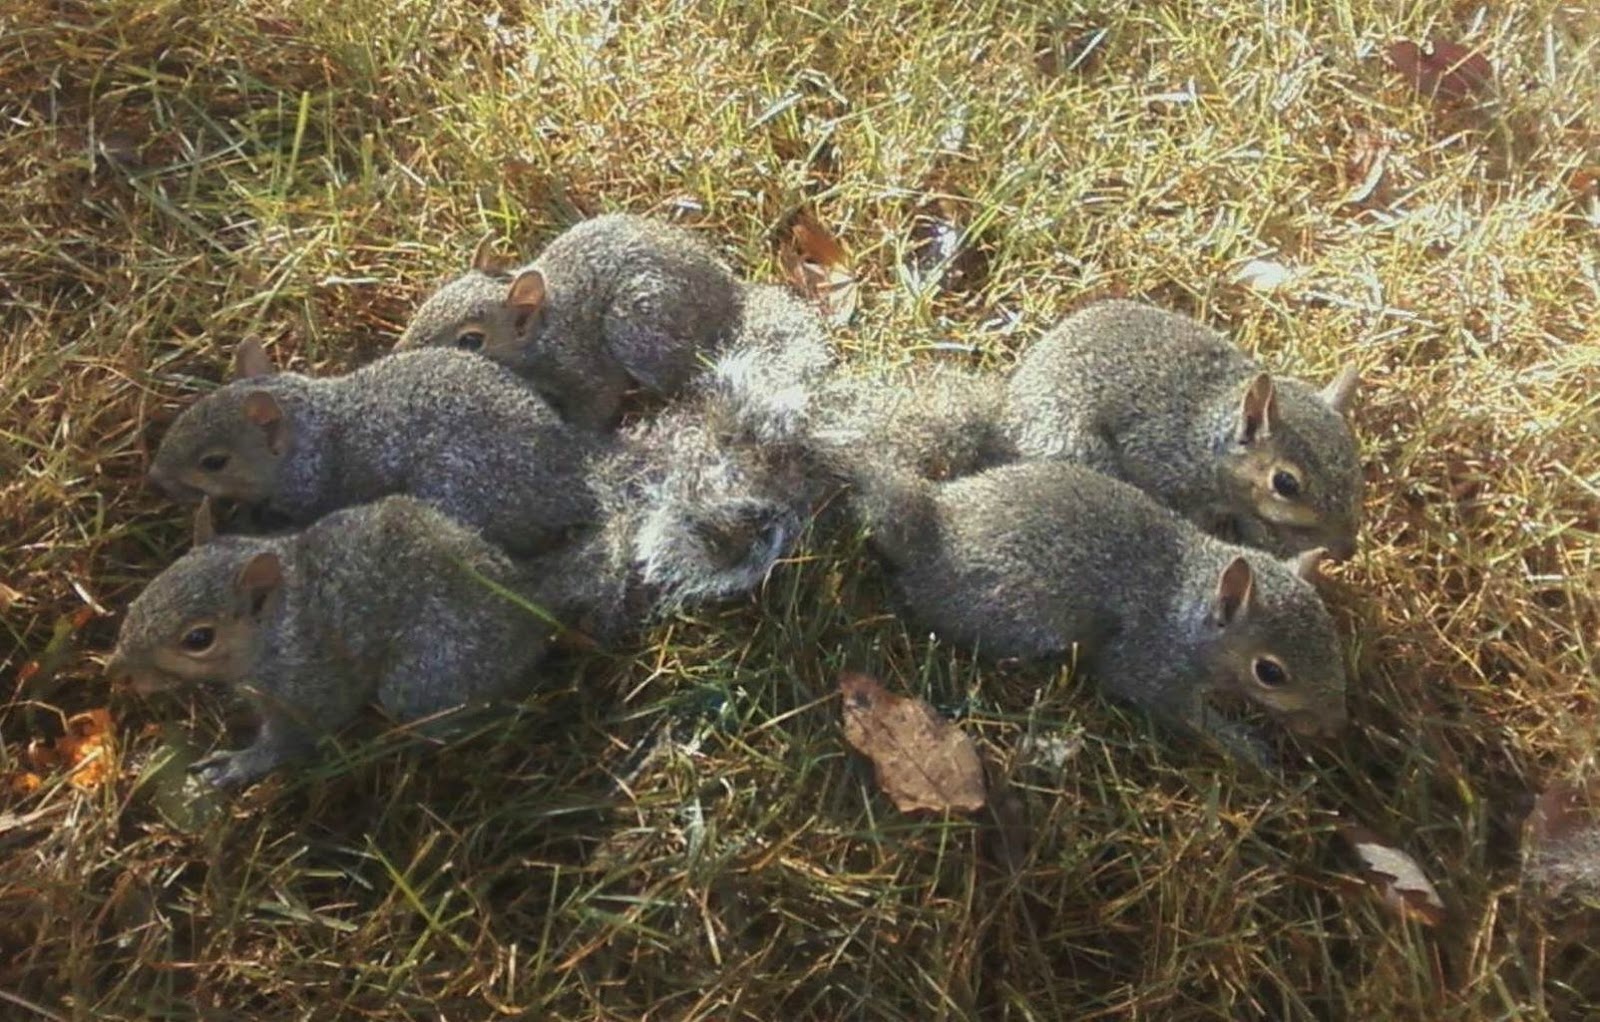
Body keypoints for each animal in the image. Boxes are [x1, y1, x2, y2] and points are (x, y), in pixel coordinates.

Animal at [106, 496, 555, 788]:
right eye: (150, 589)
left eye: (199, 638)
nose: (117, 670)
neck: (279, 628)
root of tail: (530, 612)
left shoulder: (309, 683)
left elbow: (292, 738)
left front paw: (237, 765)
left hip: (427, 675)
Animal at [396, 213, 745, 430]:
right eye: (429, 303)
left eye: (471, 340)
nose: (399, 352)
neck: (544, 331)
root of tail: (730, 294)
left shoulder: (585, 370)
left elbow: (597, 405)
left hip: (639, 329)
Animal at [847, 456, 1349, 759]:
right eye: (1270, 672)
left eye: (1331, 642)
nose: (1331, 727)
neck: (1185, 607)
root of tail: (932, 528)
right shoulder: (1148, 663)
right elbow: (1177, 711)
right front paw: (1245, 747)